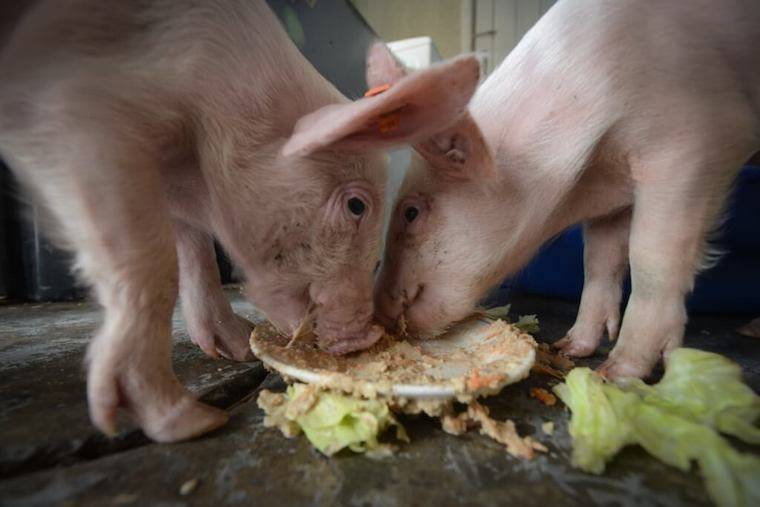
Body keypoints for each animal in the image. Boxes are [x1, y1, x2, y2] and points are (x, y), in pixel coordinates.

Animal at [0, 0, 482, 441]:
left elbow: (195, 252)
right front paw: (192, 423)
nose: (366, 336)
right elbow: (152, 265)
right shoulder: (69, 112)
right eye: (356, 206)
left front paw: (238, 350)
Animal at [375, 0, 760, 379]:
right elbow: (599, 262)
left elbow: (650, 259)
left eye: (411, 213)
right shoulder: (612, 201)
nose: (380, 313)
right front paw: (570, 348)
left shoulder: (697, 141)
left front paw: (615, 373)